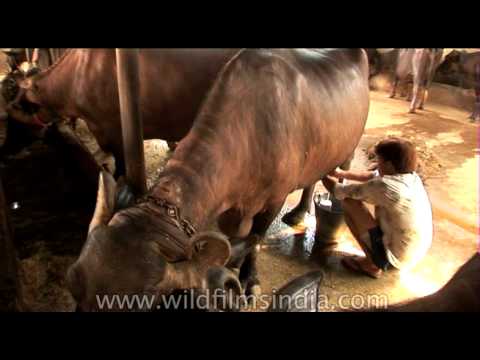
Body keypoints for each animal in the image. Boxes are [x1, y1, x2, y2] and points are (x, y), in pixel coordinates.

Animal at [65, 48, 370, 312]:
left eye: (141, 304)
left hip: (349, 150)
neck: (250, 132)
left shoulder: (274, 199)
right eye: (72, 284)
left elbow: (256, 238)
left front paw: (249, 280)